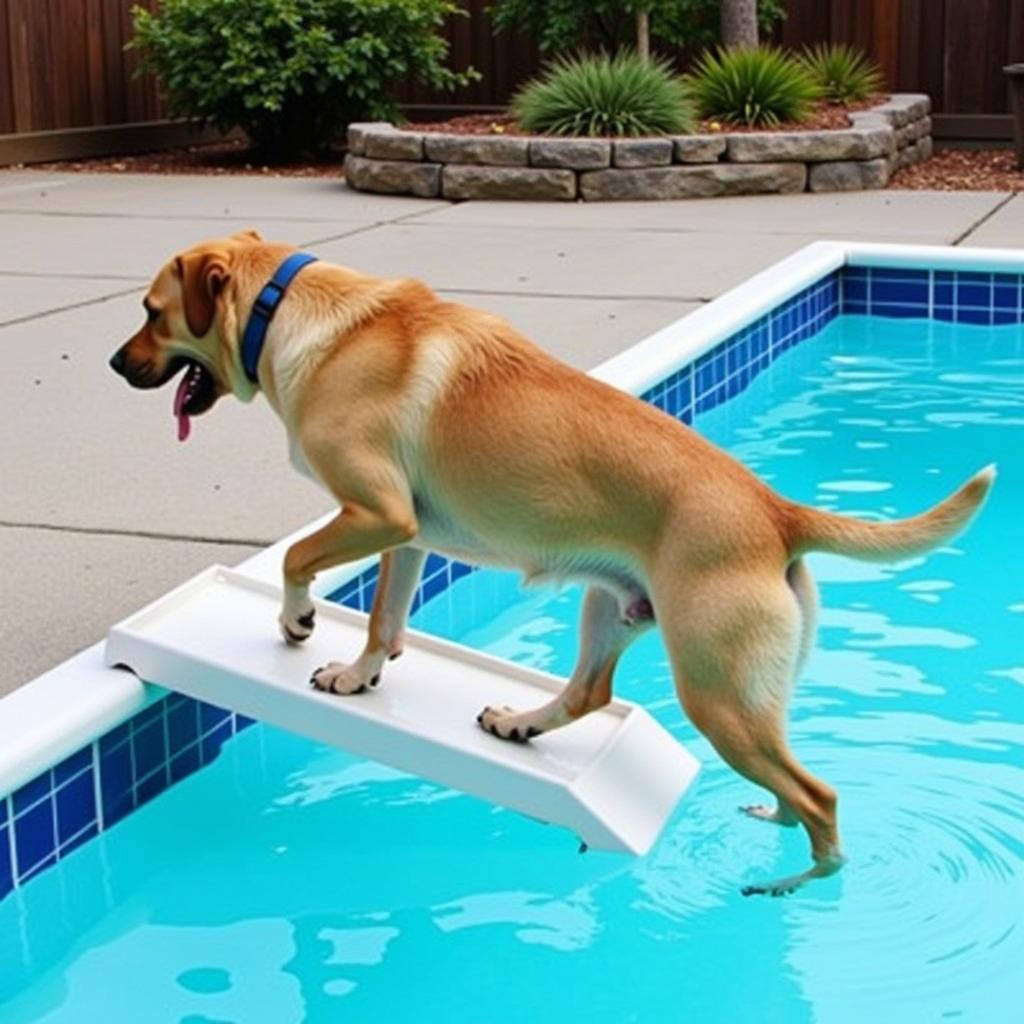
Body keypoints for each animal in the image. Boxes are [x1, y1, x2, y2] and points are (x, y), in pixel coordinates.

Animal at [110, 234, 991, 897]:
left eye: (152, 313)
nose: (116, 365)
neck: (288, 309)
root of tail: (776, 513)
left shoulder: (375, 514)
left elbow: (299, 558)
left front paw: (295, 620)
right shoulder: (405, 536)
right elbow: (383, 620)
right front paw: (361, 675)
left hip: (716, 693)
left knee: (818, 795)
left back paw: (798, 881)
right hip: (619, 619)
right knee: (596, 699)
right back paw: (523, 724)